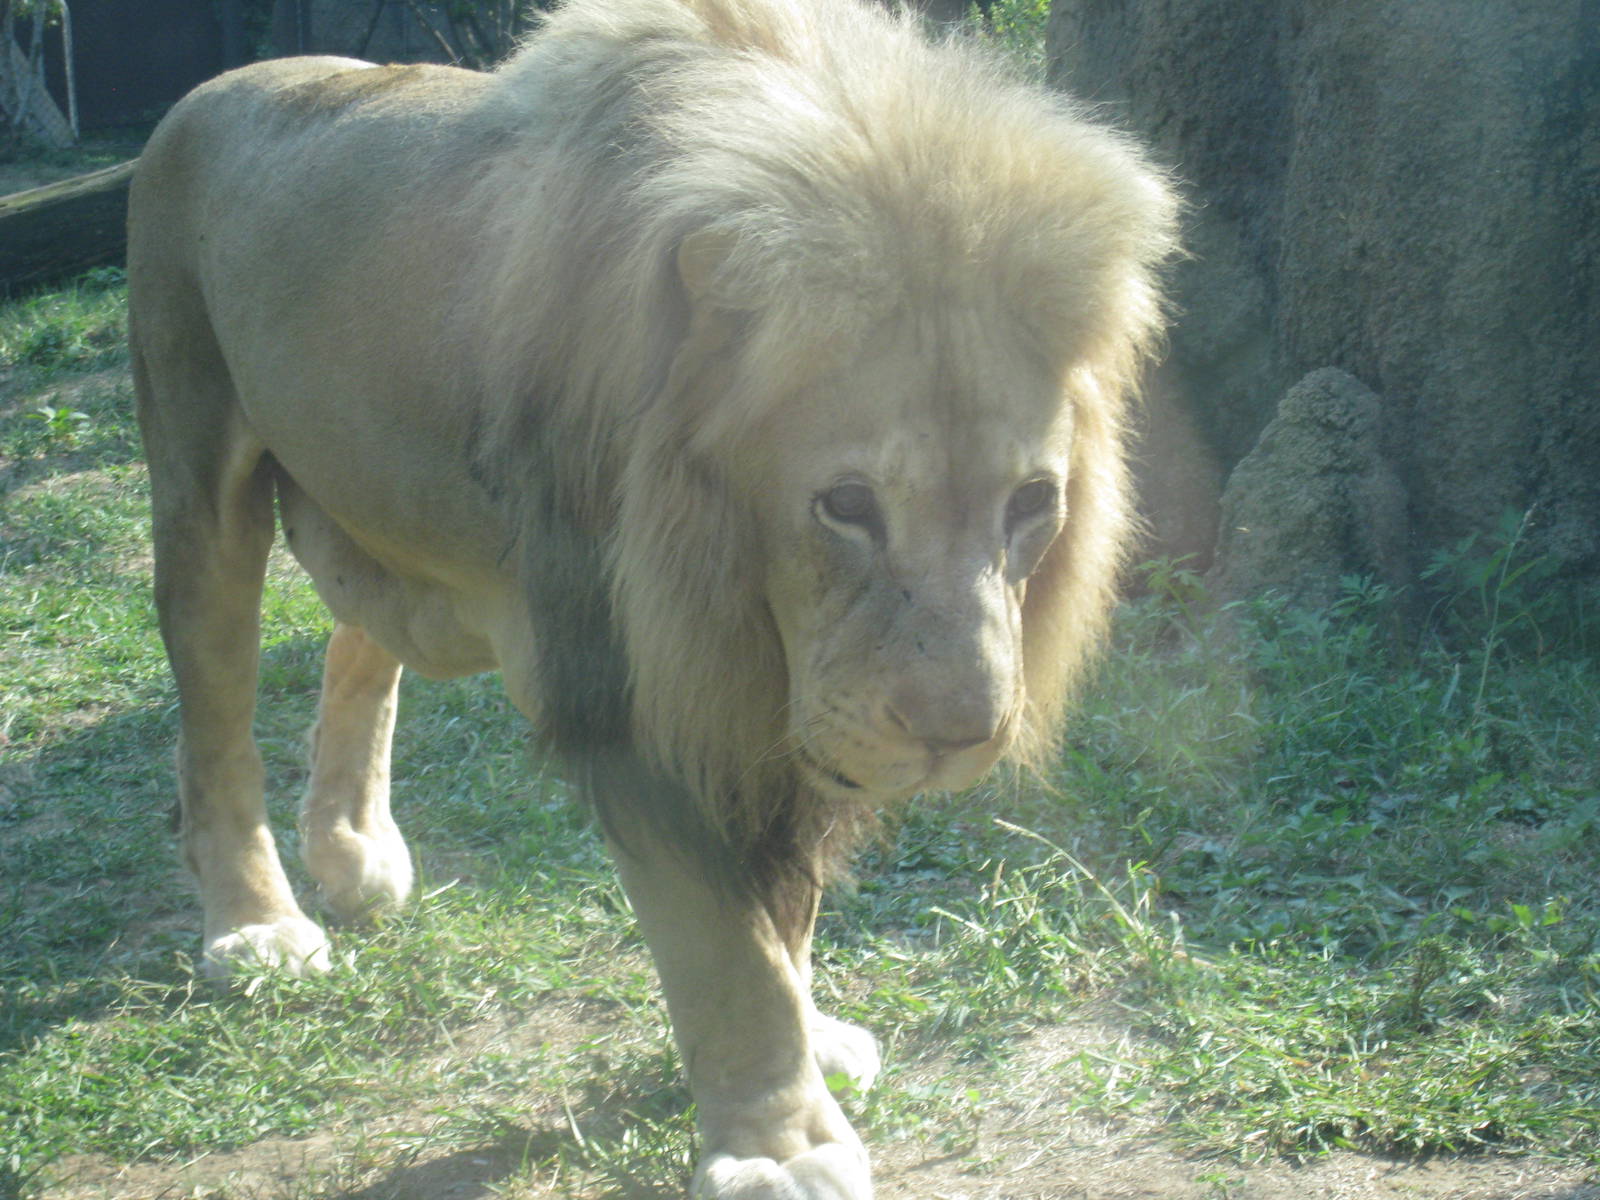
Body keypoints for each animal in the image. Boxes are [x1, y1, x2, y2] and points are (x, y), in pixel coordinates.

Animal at [126, 0, 1176, 1193]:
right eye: (847, 504)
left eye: (1031, 502)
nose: (961, 736)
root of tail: (214, 90)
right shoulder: (629, 683)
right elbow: (728, 951)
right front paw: (781, 1144)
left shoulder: (767, 711)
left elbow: (785, 920)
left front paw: (812, 1045)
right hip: (196, 469)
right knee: (215, 727)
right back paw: (255, 927)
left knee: (363, 640)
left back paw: (352, 853)